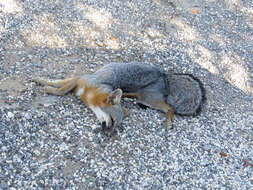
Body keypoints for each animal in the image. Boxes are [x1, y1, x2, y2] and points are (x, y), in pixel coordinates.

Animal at [32, 62, 205, 131]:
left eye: (116, 124)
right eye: (113, 120)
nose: (109, 131)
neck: (90, 94)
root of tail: (163, 74)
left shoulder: (80, 81)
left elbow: (62, 86)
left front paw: (46, 86)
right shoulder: (79, 79)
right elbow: (60, 85)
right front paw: (42, 82)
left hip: (148, 98)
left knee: (170, 108)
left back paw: (169, 122)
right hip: (144, 97)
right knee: (165, 106)